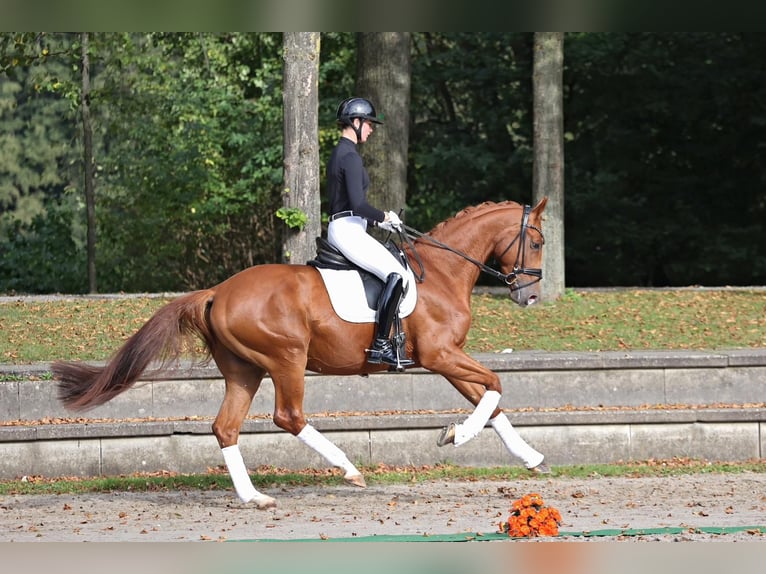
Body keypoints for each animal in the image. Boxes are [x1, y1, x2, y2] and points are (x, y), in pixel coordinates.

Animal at [51, 197, 548, 508]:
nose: (530, 298)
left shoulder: (448, 358)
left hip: (244, 370)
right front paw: (457, 435)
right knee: (288, 416)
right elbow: (495, 385)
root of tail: (217, 292)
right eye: (539, 242)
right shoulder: (440, 355)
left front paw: (530, 457)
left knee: (226, 427)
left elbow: (490, 399)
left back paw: (254, 497)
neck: (442, 273)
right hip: (287, 358)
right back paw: (348, 468)